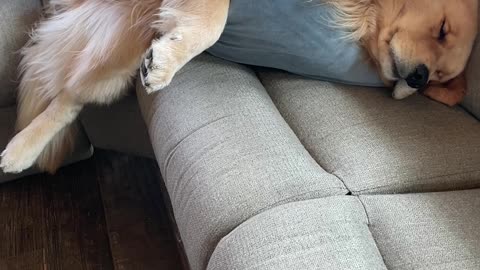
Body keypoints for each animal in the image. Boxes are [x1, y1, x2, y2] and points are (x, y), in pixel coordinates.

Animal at [0, 0, 478, 173]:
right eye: (441, 29)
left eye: (440, 77)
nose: (419, 78)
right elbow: (217, 13)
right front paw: (171, 59)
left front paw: (166, 60)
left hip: (115, 61)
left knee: (69, 98)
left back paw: (22, 151)